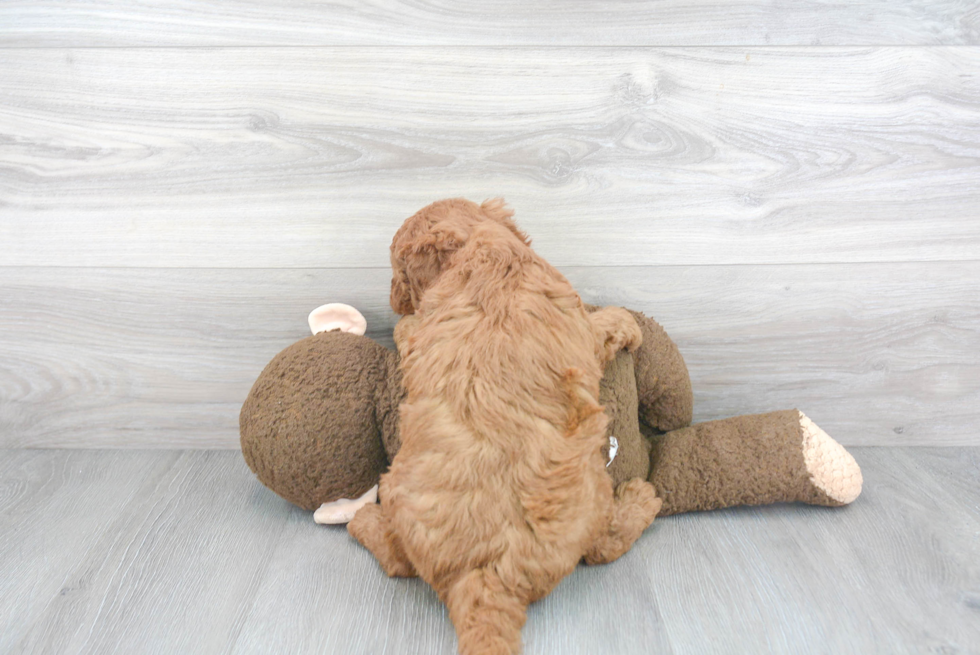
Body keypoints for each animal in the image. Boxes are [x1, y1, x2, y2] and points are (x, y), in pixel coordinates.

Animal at [348, 199, 664, 655]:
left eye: (396, 270)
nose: (393, 300)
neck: (476, 246)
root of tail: (485, 573)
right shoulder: (577, 323)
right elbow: (599, 327)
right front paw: (625, 322)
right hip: (593, 493)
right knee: (603, 547)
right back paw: (641, 498)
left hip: (398, 494)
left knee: (397, 558)